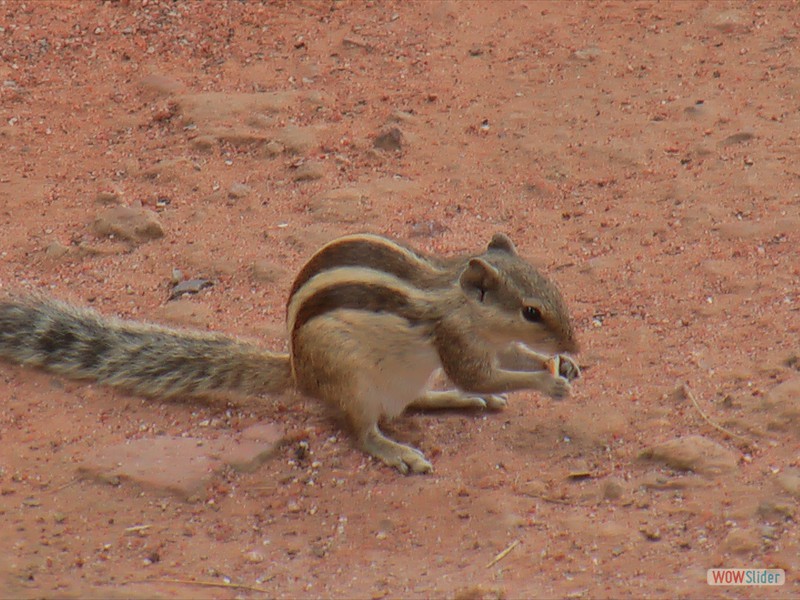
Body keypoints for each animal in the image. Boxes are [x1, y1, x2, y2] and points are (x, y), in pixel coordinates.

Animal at [0, 233, 580, 474]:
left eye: (553, 289)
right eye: (532, 311)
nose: (573, 344)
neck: (457, 299)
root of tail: (300, 374)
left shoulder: (487, 343)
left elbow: (511, 363)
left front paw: (562, 366)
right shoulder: (456, 342)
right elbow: (484, 375)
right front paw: (549, 381)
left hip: (403, 377)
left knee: (410, 404)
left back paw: (452, 401)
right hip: (352, 379)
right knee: (364, 429)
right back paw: (398, 450)